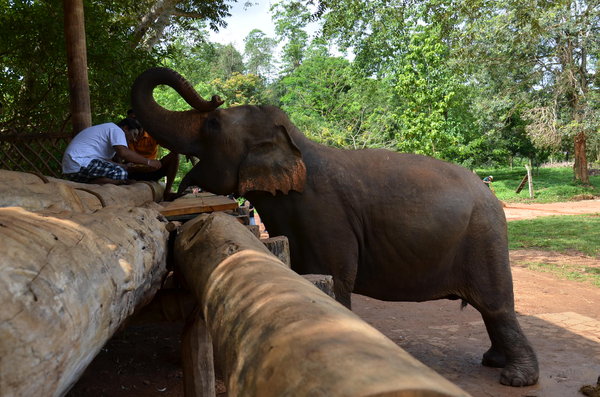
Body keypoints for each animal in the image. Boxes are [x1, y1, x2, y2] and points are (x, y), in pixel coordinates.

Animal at [130, 66, 540, 386]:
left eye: (213, 124)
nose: (213, 97)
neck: (297, 144)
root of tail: (491, 195)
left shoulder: (326, 215)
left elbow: (334, 280)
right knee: (492, 310)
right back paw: (494, 362)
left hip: (484, 238)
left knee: (497, 306)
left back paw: (515, 378)